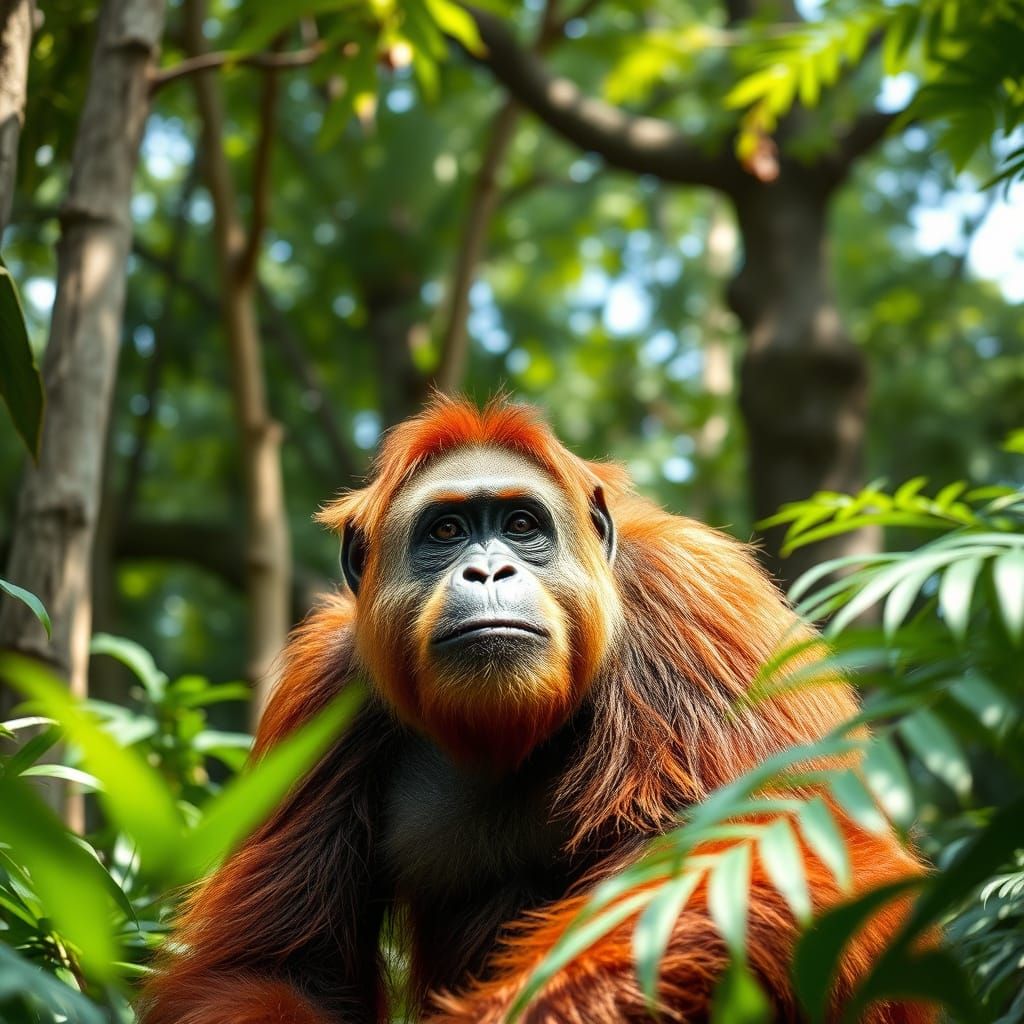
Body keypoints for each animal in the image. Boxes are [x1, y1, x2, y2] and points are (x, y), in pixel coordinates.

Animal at [139, 396, 934, 1024]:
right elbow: (273, 968)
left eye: (522, 525)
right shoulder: (323, 695)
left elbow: (801, 849)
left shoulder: (702, 611)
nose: (488, 569)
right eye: (446, 533)